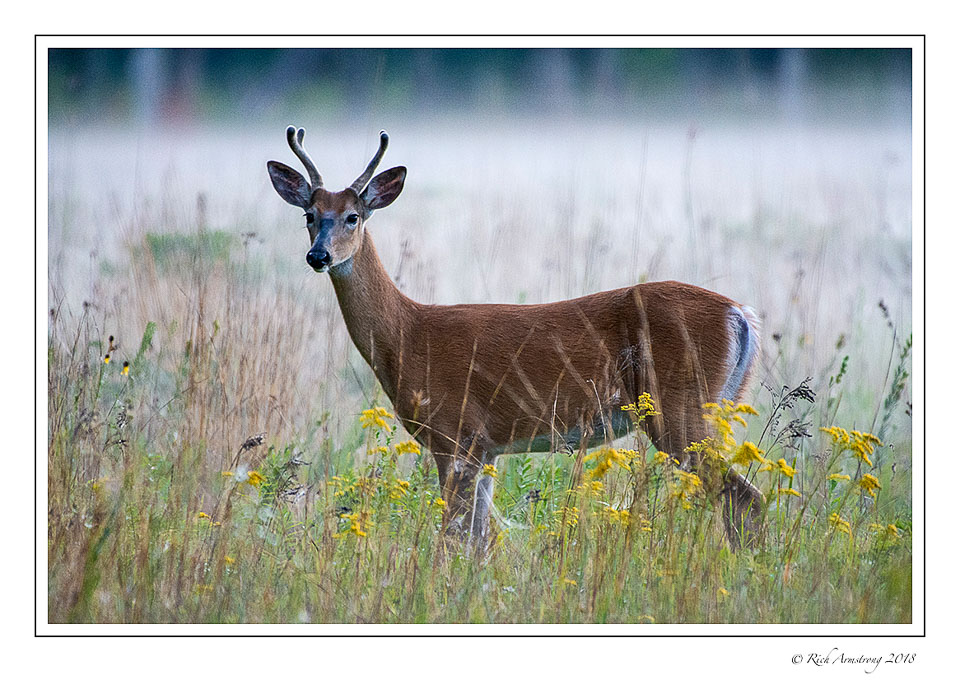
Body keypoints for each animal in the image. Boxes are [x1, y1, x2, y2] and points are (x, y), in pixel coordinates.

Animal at [268, 126, 764, 552]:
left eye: (353, 216)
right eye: (309, 215)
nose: (318, 255)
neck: (407, 334)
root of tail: (741, 314)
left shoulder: (454, 434)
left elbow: (456, 537)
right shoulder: (485, 448)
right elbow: (481, 540)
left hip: (679, 407)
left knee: (744, 497)